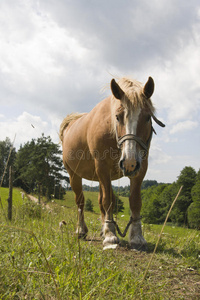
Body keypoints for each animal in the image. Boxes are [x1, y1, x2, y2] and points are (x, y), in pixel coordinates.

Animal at [59, 76, 164, 250]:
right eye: (118, 117)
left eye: (148, 117)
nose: (129, 162)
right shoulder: (102, 168)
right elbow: (107, 201)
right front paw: (110, 236)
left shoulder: (141, 168)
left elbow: (134, 201)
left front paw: (136, 237)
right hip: (73, 175)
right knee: (80, 201)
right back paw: (81, 230)